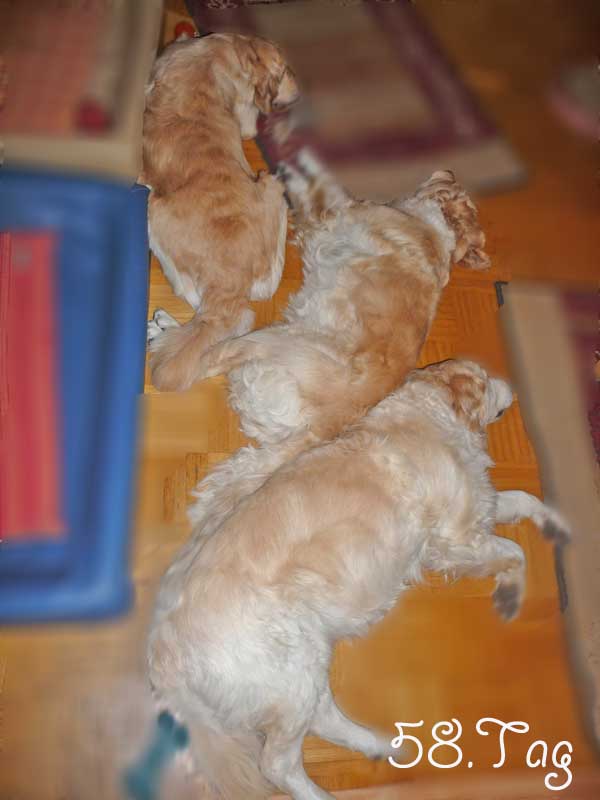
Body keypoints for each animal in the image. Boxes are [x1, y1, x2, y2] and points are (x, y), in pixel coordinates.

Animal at [143, 33, 299, 391]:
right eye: (285, 70)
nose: (298, 91)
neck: (234, 52)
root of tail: (231, 278)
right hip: (273, 197)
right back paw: (164, 327)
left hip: (156, 214)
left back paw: (162, 327)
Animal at [148, 359, 569, 800]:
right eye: (486, 381)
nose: (511, 385)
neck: (430, 414)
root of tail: (163, 649)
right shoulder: (456, 536)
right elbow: (516, 552)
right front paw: (511, 594)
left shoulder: (481, 504)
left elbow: (524, 498)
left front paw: (553, 522)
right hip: (292, 668)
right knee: (277, 764)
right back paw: (324, 791)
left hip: (303, 664)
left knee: (323, 720)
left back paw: (383, 745)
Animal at [150, 151, 490, 443]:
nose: (449, 171)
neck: (437, 230)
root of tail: (316, 424)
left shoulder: (334, 213)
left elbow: (318, 182)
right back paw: (163, 327)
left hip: (261, 341)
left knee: (189, 363)